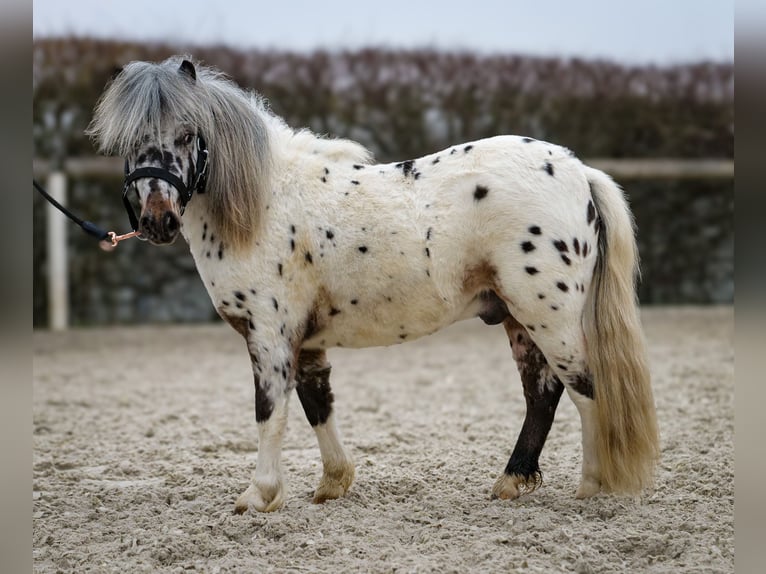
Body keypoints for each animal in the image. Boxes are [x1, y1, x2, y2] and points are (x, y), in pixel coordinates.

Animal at [85, 56, 660, 516]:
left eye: (187, 134)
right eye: (129, 142)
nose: (157, 219)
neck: (264, 204)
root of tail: (578, 171)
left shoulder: (269, 336)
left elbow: (270, 412)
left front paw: (259, 495)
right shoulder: (304, 341)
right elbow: (317, 404)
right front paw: (333, 484)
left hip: (549, 316)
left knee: (586, 389)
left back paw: (592, 487)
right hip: (519, 317)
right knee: (543, 393)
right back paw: (511, 481)